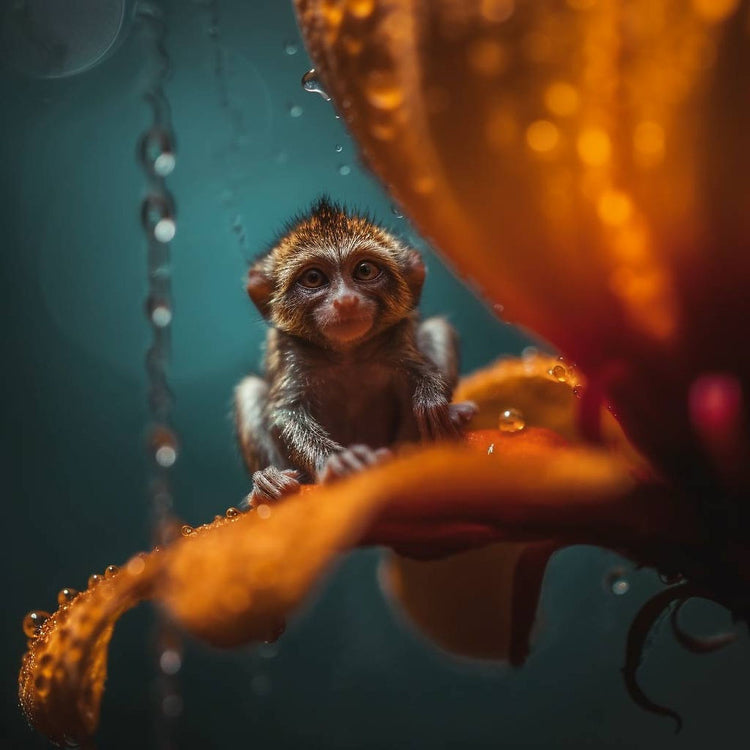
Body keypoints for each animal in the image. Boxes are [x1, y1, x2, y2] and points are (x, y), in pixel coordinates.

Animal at [234, 198, 477, 506]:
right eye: (313, 278)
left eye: (364, 271)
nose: (346, 300)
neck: (346, 354)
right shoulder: (289, 349)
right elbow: (284, 412)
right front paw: (339, 460)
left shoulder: (398, 333)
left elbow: (421, 368)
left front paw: (431, 396)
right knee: (250, 390)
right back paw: (267, 484)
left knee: (437, 329)